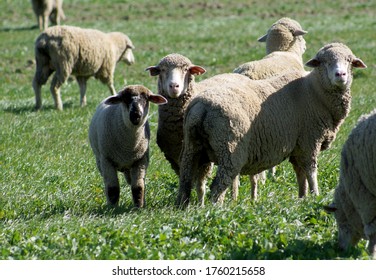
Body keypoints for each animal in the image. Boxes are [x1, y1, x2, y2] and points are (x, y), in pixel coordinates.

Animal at [177, 42, 368, 208]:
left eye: (349, 61)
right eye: (324, 62)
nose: (340, 75)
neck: (315, 92)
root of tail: (201, 105)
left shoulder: (297, 146)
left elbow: (300, 174)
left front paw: (302, 197)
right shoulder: (309, 141)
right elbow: (311, 171)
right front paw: (315, 196)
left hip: (193, 148)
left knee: (187, 180)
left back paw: (185, 207)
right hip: (230, 150)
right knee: (218, 186)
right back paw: (216, 209)